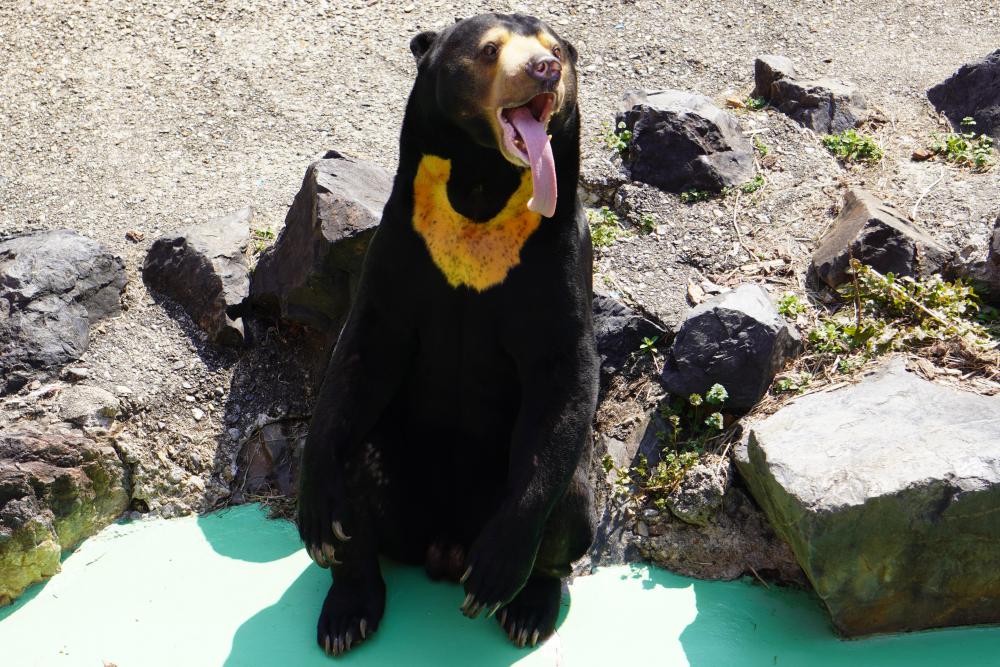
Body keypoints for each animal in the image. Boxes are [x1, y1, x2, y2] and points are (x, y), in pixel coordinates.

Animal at [294, 11, 592, 656]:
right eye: (489, 50)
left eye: (556, 51)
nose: (545, 70)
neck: (482, 188)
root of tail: (444, 546)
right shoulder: (401, 241)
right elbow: (361, 354)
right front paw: (315, 513)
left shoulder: (559, 251)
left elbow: (564, 370)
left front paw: (497, 573)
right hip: (400, 477)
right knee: (359, 464)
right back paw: (347, 609)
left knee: (571, 503)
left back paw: (527, 606)